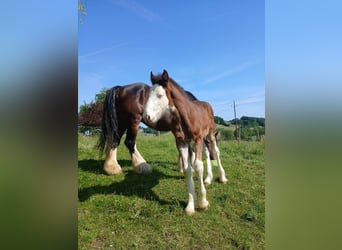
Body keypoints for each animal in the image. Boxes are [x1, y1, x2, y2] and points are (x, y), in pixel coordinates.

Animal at [144, 70, 227, 215]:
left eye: (160, 95)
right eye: (148, 95)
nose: (146, 116)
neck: (185, 117)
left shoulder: (197, 139)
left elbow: (198, 166)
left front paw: (203, 202)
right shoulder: (182, 142)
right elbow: (188, 169)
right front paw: (190, 206)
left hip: (210, 133)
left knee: (216, 152)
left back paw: (222, 177)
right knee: (207, 152)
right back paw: (208, 178)